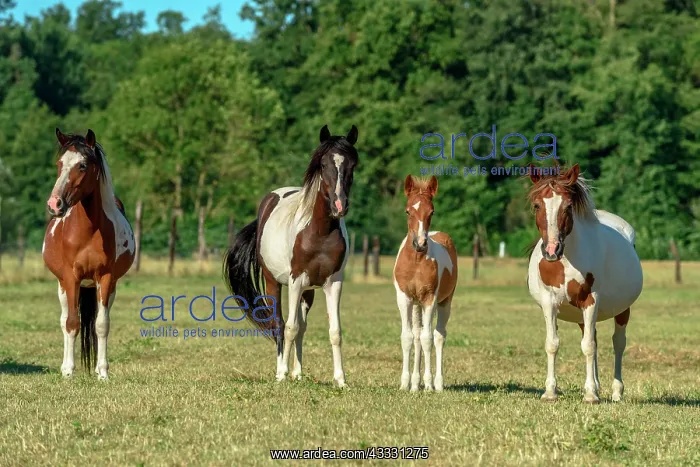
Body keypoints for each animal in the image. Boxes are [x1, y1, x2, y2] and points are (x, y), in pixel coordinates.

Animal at [43, 128, 135, 380]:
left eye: (83, 165)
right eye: (59, 163)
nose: (55, 204)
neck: (87, 232)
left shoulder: (105, 278)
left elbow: (101, 325)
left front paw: (102, 372)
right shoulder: (70, 278)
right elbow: (72, 323)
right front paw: (69, 372)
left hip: (107, 287)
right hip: (62, 286)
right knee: (64, 320)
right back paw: (65, 367)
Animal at [223, 124, 359, 387]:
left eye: (352, 165)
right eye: (323, 164)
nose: (339, 206)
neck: (319, 232)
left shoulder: (333, 282)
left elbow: (334, 331)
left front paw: (340, 380)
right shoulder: (296, 280)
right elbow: (289, 327)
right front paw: (282, 374)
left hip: (308, 290)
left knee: (302, 327)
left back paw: (298, 373)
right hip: (273, 282)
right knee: (280, 324)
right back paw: (282, 371)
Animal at [393, 175, 458, 391]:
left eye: (432, 211)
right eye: (407, 210)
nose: (420, 244)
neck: (416, 262)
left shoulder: (430, 298)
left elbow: (428, 339)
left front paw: (428, 384)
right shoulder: (404, 298)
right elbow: (407, 337)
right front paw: (405, 384)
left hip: (444, 301)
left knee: (438, 336)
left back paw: (437, 383)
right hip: (416, 304)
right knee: (417, 335)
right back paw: (415, 383)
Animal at [526, 163, 643, 403]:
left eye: (568, 206)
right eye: (537, 205)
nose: (551, 250)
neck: (564, 263)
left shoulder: (590, 300)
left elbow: (588, 346)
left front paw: (590, 395)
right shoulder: (549, 302)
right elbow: (553, 344)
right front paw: (550, 392)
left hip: (622, 309)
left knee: (618, 343)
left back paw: (616, 391)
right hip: (581, 315)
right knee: (594, 338)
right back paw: (597, 385)